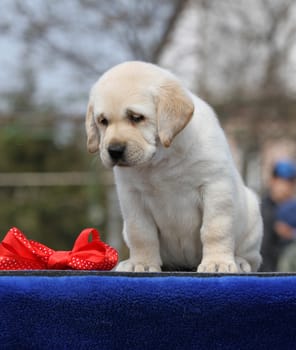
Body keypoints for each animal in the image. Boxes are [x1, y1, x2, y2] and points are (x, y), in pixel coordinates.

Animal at [85, 62, 262, 274]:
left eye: (136, 117)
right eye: (103, 121)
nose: (114, 150)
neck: (161, 159)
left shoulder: (215, 186)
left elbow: (215, 229)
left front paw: (217, 262)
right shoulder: (132, 196)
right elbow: (141, 233)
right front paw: (141, 263)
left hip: (252, 217)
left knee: (253, 258)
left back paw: (240, 262)